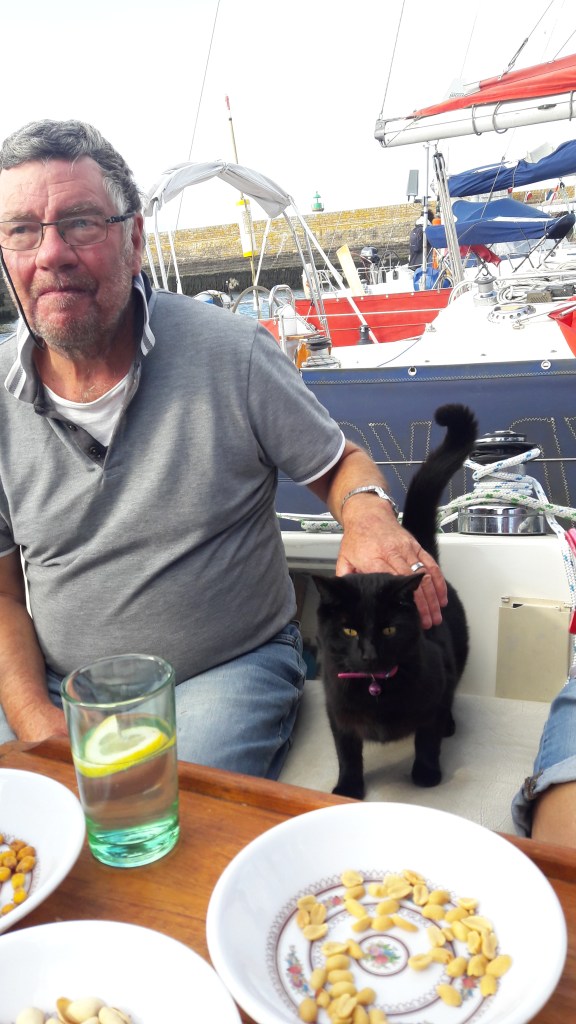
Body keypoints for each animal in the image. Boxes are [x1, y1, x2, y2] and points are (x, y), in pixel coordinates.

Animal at [312, 403, 478, 799]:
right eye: (349, 630)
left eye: (388, 629)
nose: (369, 654)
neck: (375, 686)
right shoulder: (337, 711)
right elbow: (347, 752)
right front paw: (348, 787)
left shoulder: (434, 696)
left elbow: (427, 740)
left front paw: (426, 774)